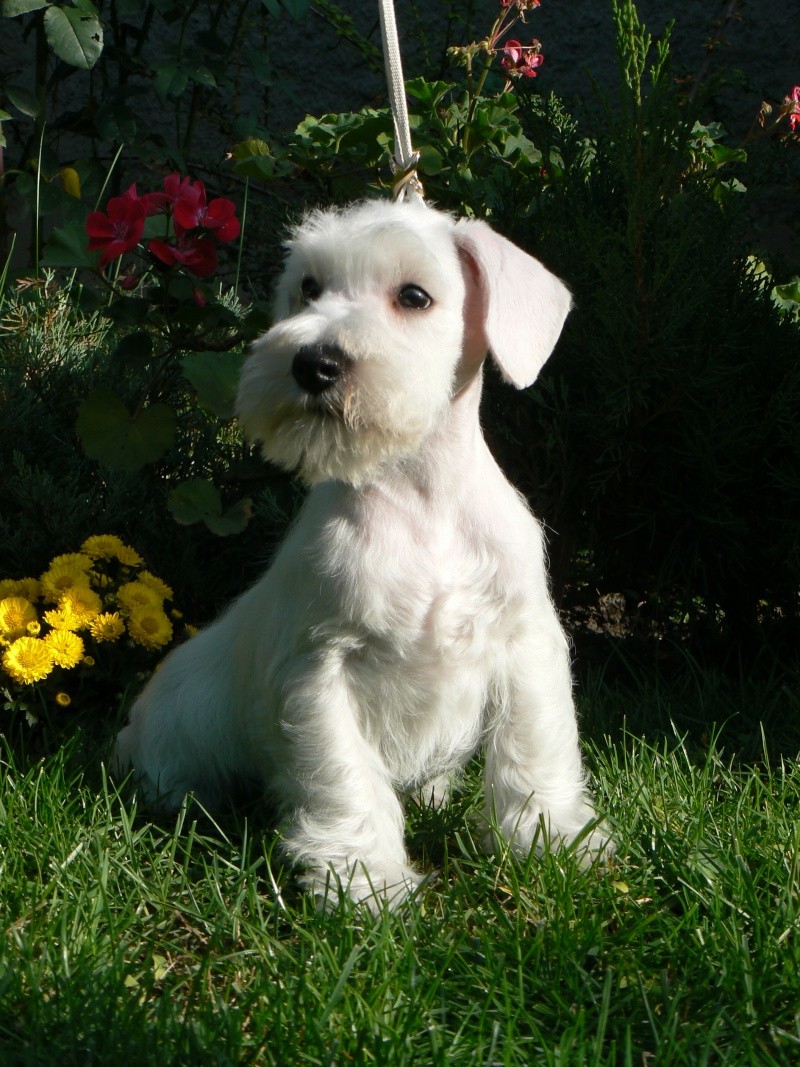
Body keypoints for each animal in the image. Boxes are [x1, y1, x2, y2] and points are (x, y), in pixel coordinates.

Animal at [114, 198, 614, 909]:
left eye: (414, 296)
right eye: (308, 288)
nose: (312, 363)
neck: (420, 499)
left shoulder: (524, 643)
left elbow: (532, 749)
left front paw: (551, 842)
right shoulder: (321, 667)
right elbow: (344, 776)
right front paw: (365, 880)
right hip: (179, 727)